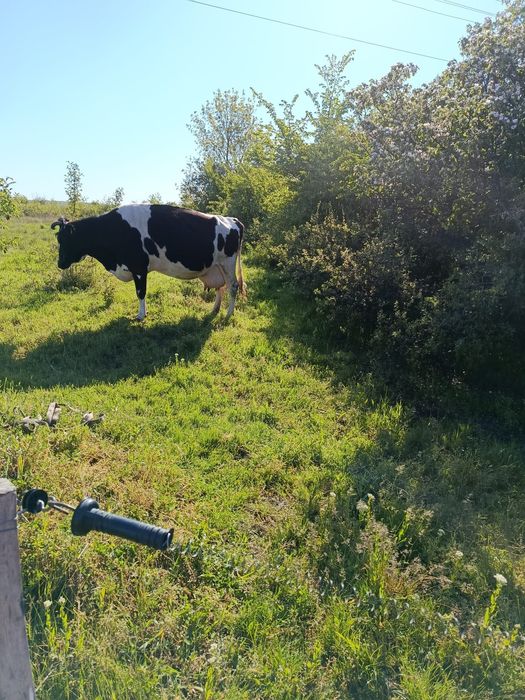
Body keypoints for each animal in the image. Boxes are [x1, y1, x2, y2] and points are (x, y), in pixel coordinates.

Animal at [51, 204, 245, 321]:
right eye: (58, 238)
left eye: (64, 239)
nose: (60, 264)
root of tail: (232, 220)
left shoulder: (138, 268)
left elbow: (140, 292)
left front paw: (140, 315)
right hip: (217, 267)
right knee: (221, 287)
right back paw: (214, 310)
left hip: (228, 263)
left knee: (233, 286)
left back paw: (228, 314)